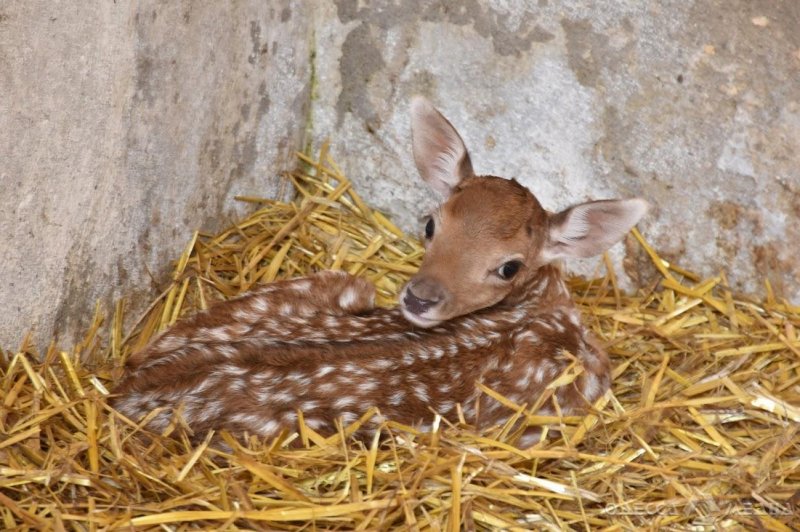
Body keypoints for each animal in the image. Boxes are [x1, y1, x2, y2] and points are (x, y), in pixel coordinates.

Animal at [114, 97, 648, 446]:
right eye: (430, 224)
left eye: (509, 266)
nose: (419, 297)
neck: (543, 304)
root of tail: (127, 390)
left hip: (334, 283)